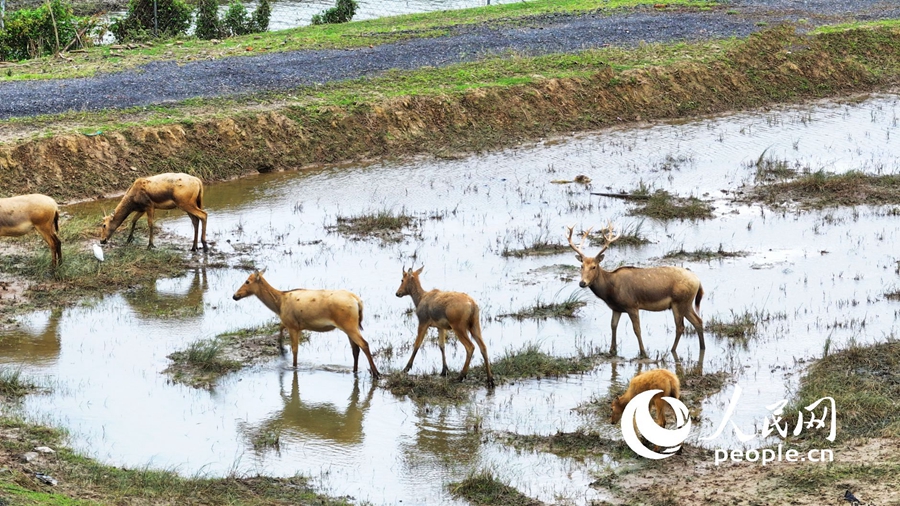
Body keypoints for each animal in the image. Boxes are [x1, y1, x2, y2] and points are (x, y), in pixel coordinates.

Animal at [232, 270, 379, 378]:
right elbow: (280, 327)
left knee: (364, 344)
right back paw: (355, 371)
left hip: (349, 324)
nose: (235, 296)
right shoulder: (293, 323)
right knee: (355, 349)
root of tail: (358, 301)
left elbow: (295, 350)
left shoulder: (292, 326)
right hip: (351, 326)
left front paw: (291, 363)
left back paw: (375, 372)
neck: (279, 303)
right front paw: (281, 349)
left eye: (247, 281)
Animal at [566, 223, 704, 358]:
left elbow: (637, 329)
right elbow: (613, 325)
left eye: (594, 267)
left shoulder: (632, 305)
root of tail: (698, 281)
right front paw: (612, 350)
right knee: (698, 321)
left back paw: (672, 350)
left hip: (679, 302)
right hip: (687, 303)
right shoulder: (616, 308)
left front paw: (643, 352)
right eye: (581, 266)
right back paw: (702, 347)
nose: (582, 283)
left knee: (680, 327)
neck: (610, 290)